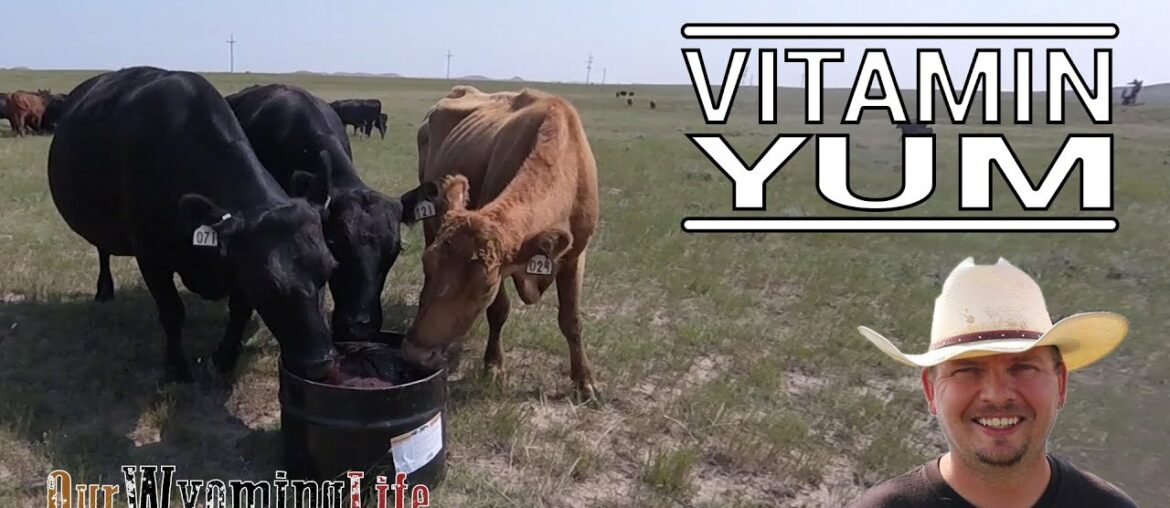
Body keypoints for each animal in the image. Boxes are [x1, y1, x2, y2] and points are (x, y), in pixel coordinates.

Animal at [47, 66, 341, 384]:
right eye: (267, 282)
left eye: (329, 270)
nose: (320, 364)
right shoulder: (150, 257)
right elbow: (172, 310)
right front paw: (177, 368)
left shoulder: (235, 263)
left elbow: (240, 309)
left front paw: (224, 358)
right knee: (103, 249)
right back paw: (104, 291)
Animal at [407, 85, 600, 400]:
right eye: (428, 263)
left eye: (484, 286)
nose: (416, 353)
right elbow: (499, 311)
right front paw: (494, 364)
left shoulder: (575, 255)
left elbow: (571, 319)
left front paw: (584, 381)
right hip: (428, 220)